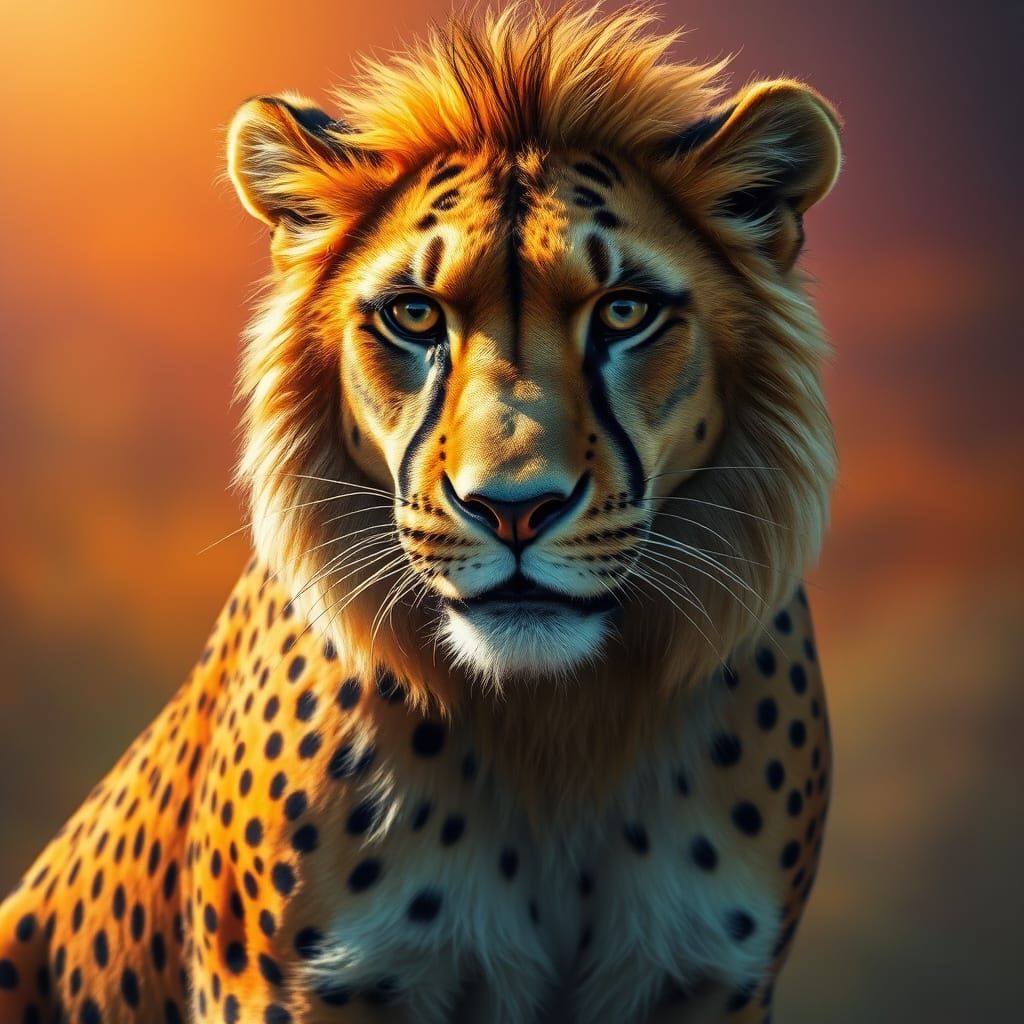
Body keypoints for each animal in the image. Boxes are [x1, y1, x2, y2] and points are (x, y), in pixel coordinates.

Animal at [0, 4, 842, 1022]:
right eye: (413, 315)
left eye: (624, 311)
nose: (513, 509)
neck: (554, 734)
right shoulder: (298, 983)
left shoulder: (709, 977)